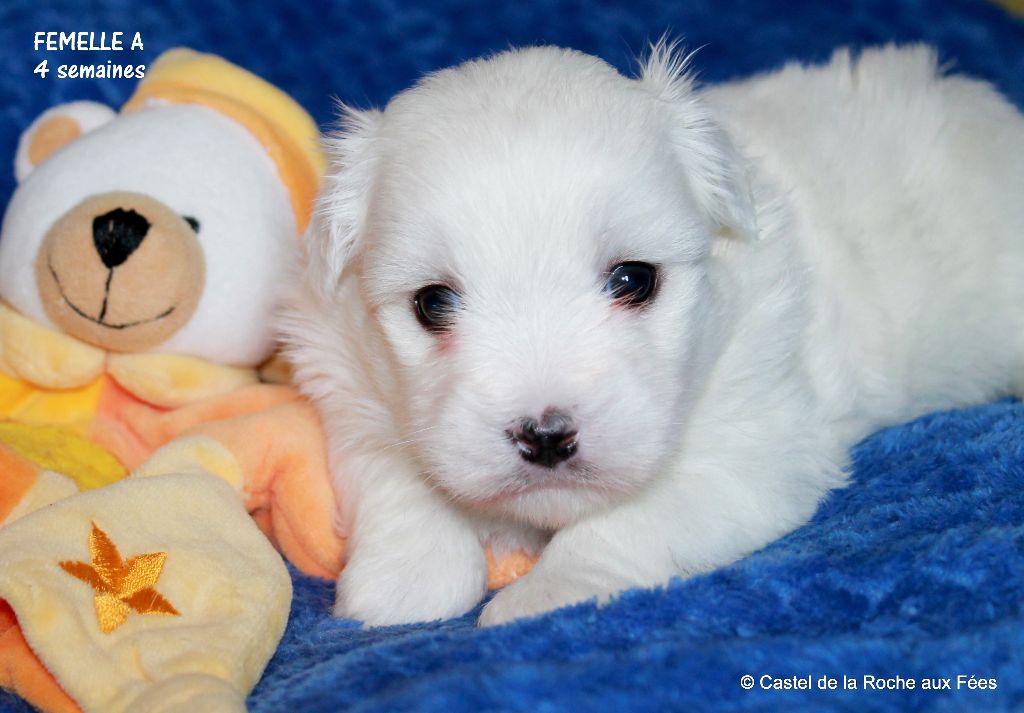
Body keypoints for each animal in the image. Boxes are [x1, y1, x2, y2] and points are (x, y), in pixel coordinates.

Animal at [279, 42, 1024, 627]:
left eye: (633, 279)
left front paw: (545, 596)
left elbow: (627, 521)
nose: (545, 436)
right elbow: (398, 485)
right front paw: (400, 585)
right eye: (433, 302)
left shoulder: (754, 445)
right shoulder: (347, 392)